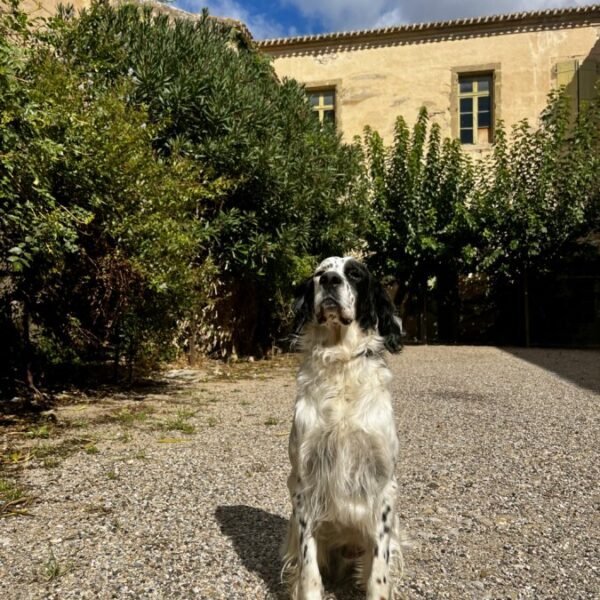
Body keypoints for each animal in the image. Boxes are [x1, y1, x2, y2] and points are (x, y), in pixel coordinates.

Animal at [282, 256, 404, 600]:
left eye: (355, 274)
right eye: (320, 273)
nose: (330, 281)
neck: (341, 365)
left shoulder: (383, 485)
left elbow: (379, 573)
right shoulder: (304, 482)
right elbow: (309, 571)